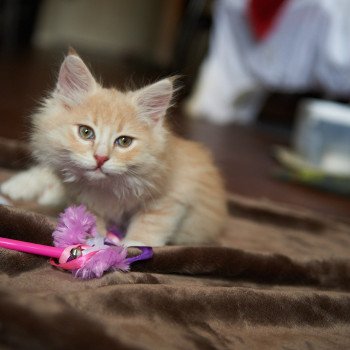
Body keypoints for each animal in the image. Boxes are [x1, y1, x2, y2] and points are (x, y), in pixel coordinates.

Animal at [1, 51, 228, 246]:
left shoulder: (174, 193)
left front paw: (135, 244)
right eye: (86, 132)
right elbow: (91, 219)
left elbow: (152, 221)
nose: (101, 158)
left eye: (124, 142)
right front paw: (95, 241)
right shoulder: (82, 198)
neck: (108, 189)